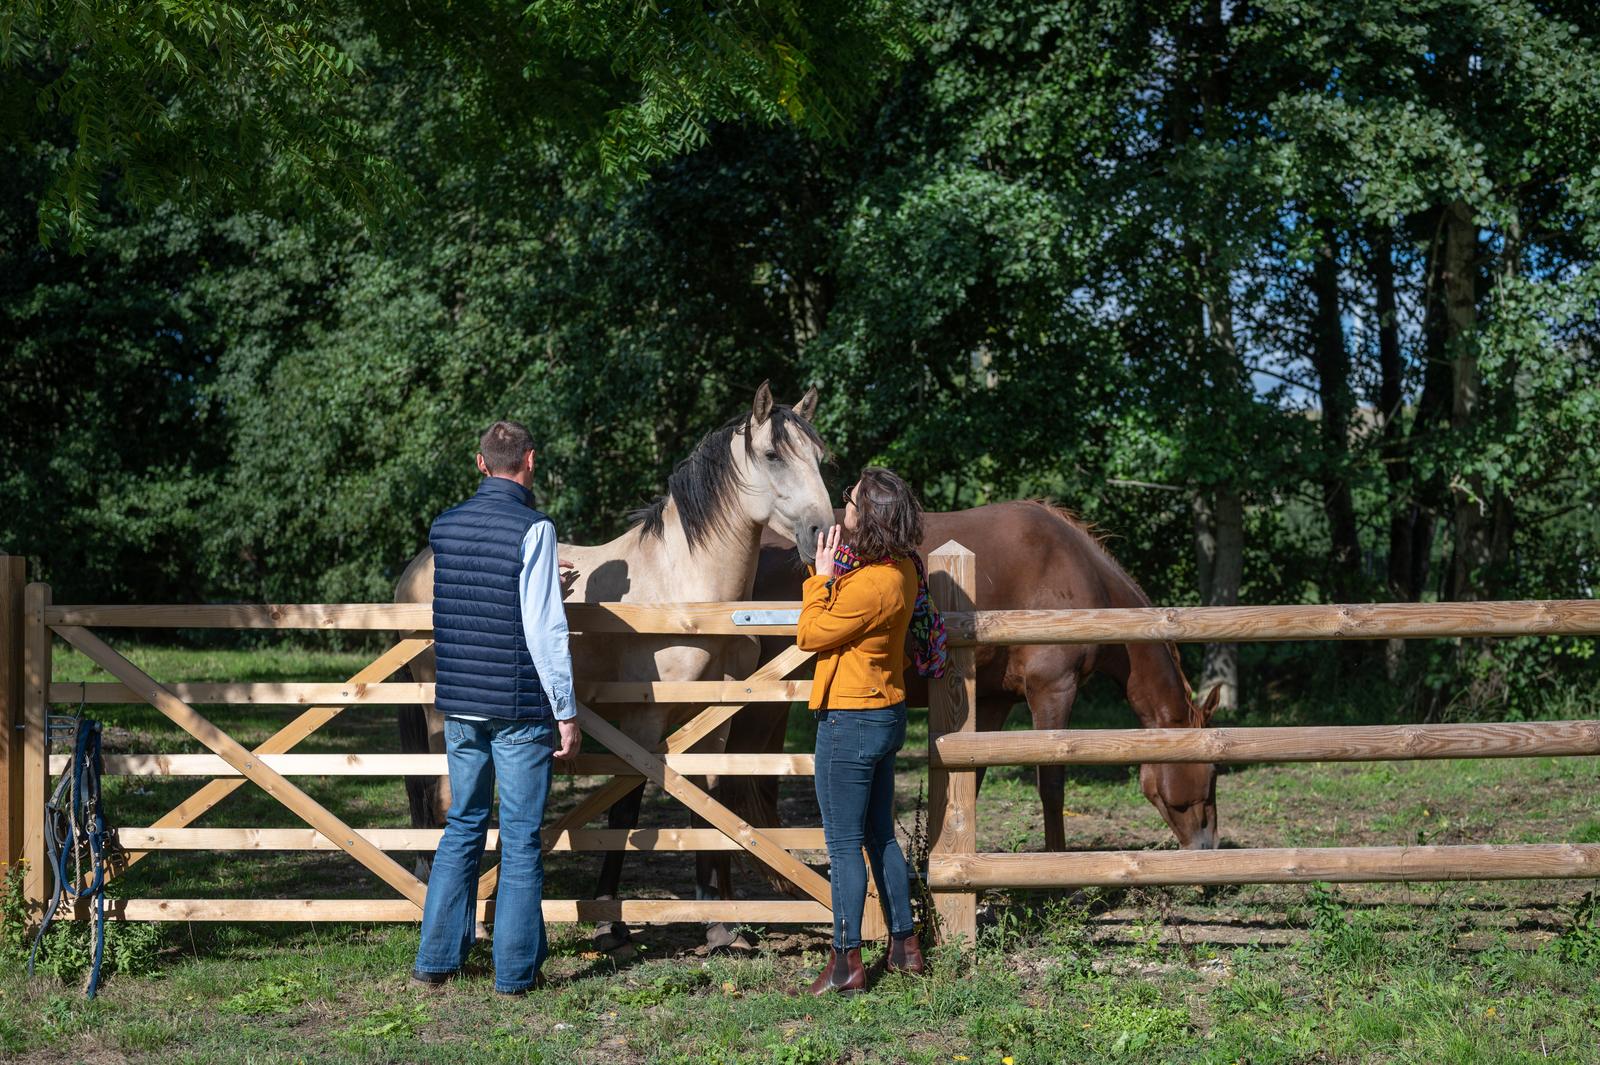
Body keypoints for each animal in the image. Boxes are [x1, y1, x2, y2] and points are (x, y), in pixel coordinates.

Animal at [395, 383, 835, 952]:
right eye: (772, 455)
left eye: (818, 457)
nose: (823, 533)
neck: (685, 592)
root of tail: (415, 568)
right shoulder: (644, 722)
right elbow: (625, 807)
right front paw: (609, 921)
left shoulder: (714, 720)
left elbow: (708, 801)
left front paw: (719, 923)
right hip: (436, 715)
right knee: (442, 792)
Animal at [741, 499, 1220, 858]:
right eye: (1213, 771)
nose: (1208, 845)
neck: (1079, 575)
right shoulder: (1053, 691)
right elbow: (1052, 784)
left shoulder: (993, 701)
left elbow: (972, 779)